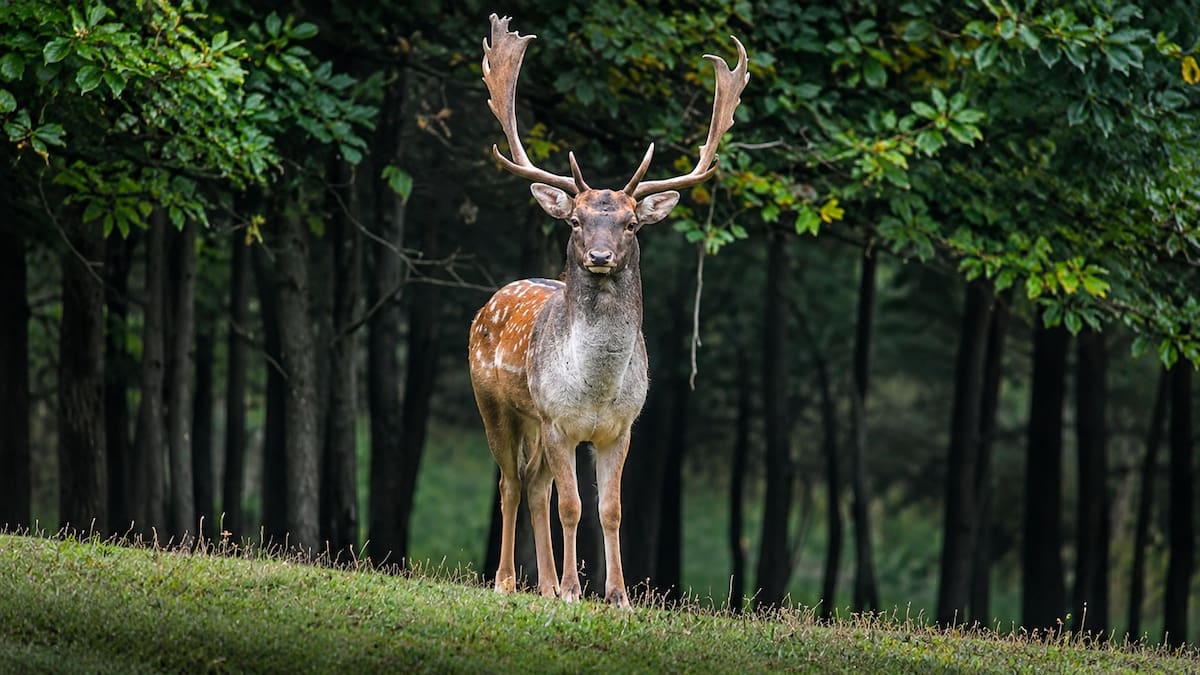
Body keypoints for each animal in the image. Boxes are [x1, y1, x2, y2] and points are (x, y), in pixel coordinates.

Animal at [469, 14, 748, 608]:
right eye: (575, 220)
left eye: (631, 223)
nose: (599, 256)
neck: (594, 388)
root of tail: (490, 302)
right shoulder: (558, 421)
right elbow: (572, 506)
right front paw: (577, 590)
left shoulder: (620, 428)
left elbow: (611, 509)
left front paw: (617, 594)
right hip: (496, 405)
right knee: (510, 482)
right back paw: (508, 580)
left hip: (534, 423)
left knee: (533, 485)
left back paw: (545, 584)